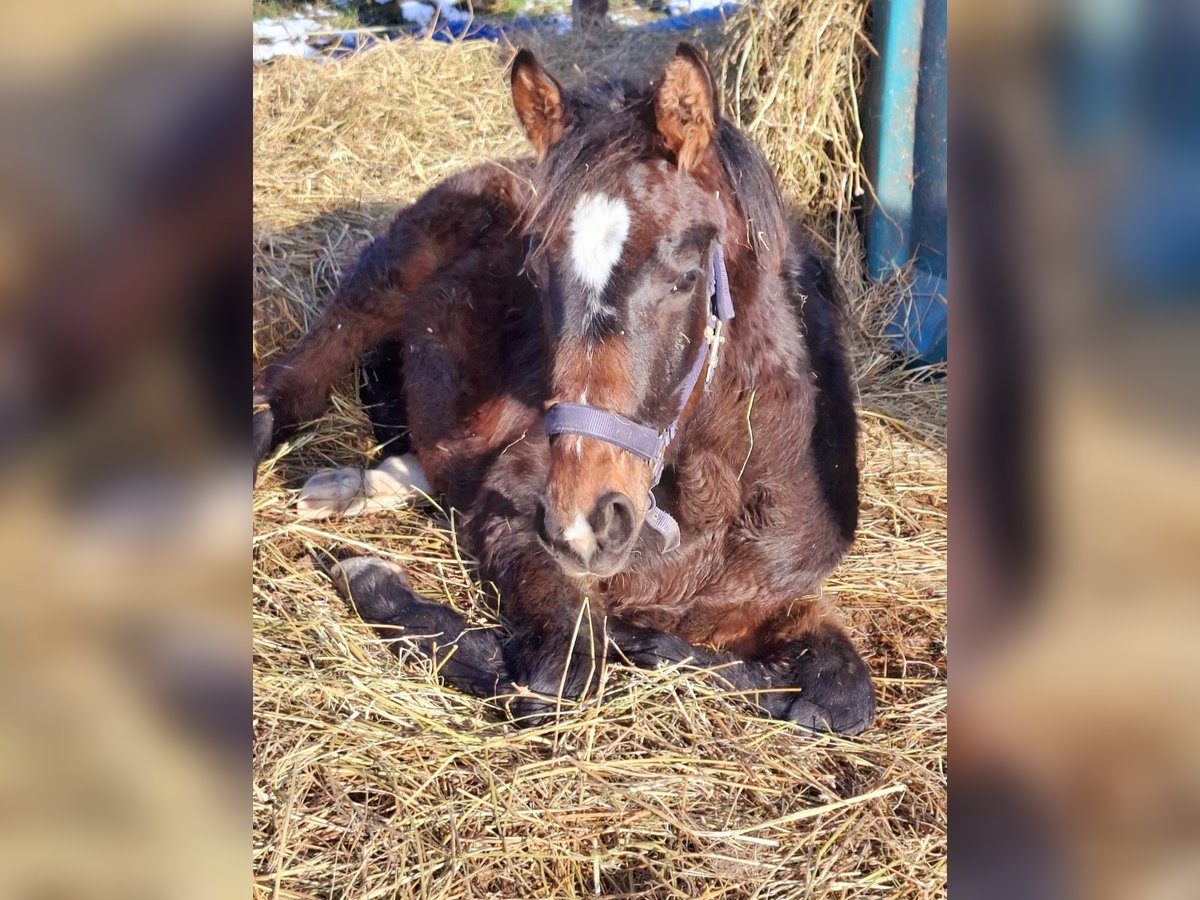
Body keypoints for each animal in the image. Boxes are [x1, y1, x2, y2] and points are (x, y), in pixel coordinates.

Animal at [250, 40, 873, 734]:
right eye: (538, 267)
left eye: (686, 277)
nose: (585, 522)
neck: (712, 509)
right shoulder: (519, 526)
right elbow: (562, 676)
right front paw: (371, 579)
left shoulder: (772, 600)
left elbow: (837, 696)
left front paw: (660, 647)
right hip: (387, 274)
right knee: (296, 379)